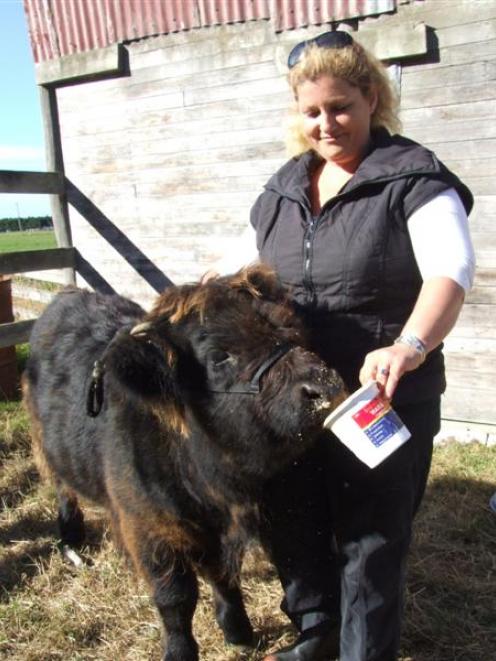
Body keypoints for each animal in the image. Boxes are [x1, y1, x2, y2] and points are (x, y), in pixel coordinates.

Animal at [25, 266, 344, 660]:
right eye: (219, 356)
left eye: (290, 329)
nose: (323, 385)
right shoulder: (151, 530)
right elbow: (176, 599)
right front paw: (180, 650)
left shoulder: (220, 531)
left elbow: (223, 577)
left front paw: (238, 631)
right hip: (47, 446)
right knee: (63, 489)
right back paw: (71, 539)